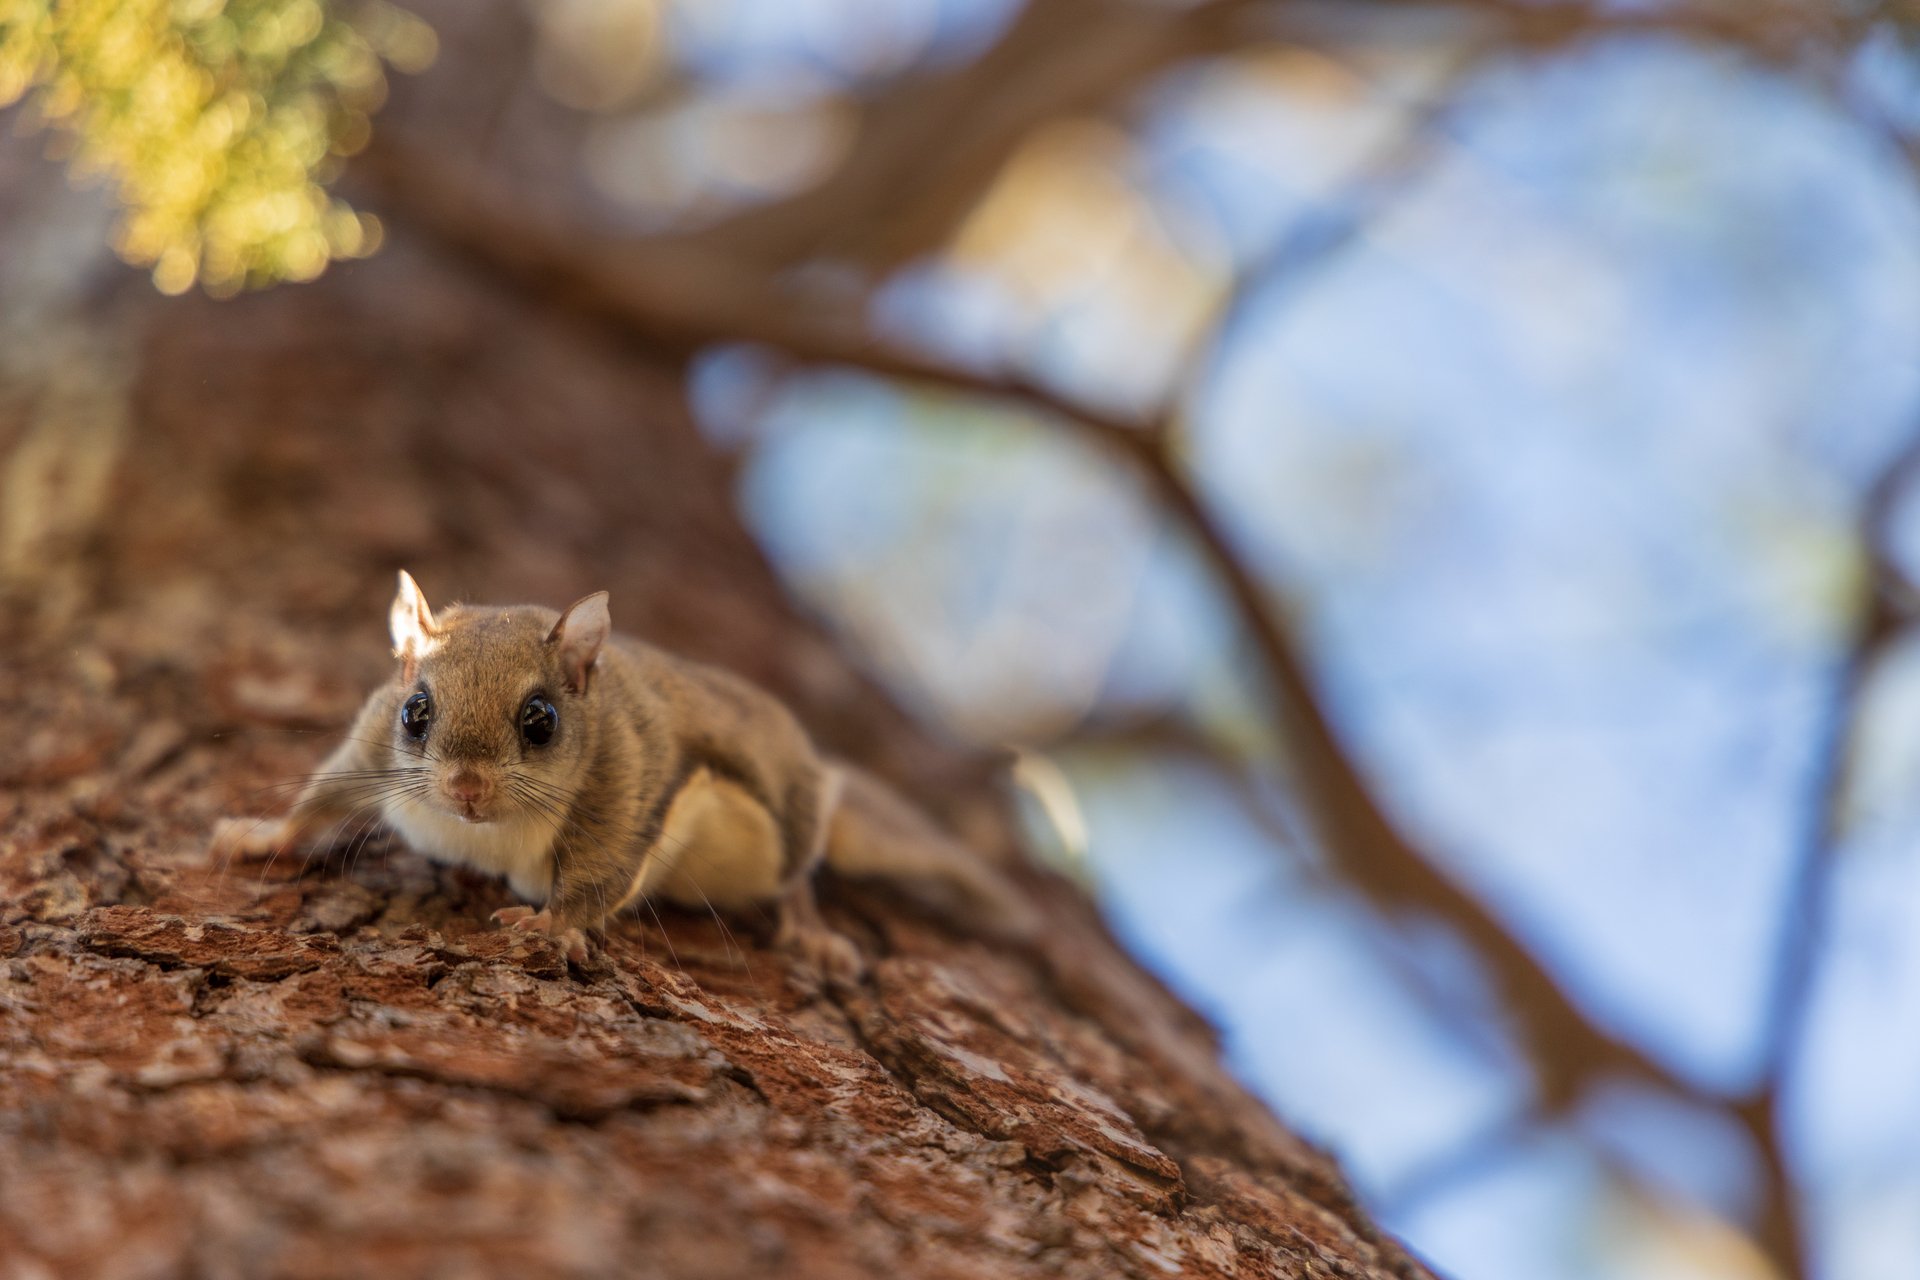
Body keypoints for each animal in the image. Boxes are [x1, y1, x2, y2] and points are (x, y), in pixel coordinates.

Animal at [217, 571, 1044, 982]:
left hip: (785, 820)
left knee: (798, 874)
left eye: (541, 721)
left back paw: (812, 933)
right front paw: (262, 836)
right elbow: (324, 795)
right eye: (415, 712)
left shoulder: (627, 780)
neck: (481, 830)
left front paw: (553, 927)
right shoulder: (369, 749)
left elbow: (600, 872)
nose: (465, 789)